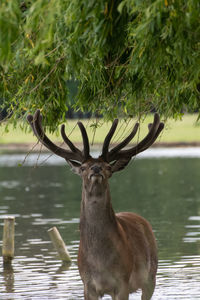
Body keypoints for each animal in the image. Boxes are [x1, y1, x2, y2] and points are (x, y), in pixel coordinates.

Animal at [26, 110, 164, 300]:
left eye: (108, 167)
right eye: (83, 167)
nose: (96, 168)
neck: (100, 263)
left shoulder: (123, 282)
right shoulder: (87, 284)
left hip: (151, 276)